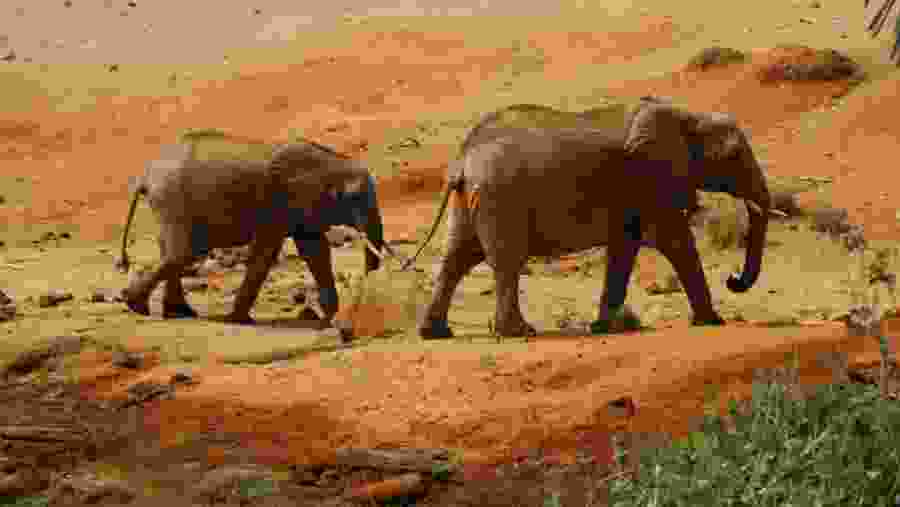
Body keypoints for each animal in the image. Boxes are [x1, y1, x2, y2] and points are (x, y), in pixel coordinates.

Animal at [115, 133, 387, 325]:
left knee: (175, 253)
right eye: (355, 198)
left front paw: (329, 319)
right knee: (183, 253)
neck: (335, 163)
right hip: (173, 201)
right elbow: (267, 253)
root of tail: (146, 177)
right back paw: (137, 305)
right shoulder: (282, 201)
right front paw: (237, 320)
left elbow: (315, 252)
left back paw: (177, 313)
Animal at [405, 98, 783, 339]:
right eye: (734, 155)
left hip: (471, 198)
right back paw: (519, 333)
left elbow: (624, 249)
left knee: (457, 258)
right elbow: (674, 241)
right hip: (500, 198)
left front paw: (601, 328)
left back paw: (436, 333)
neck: (689, 115)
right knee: (505, 261)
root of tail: (463, 159)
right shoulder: (653, 176)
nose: (733, 279)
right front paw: (713, 322)